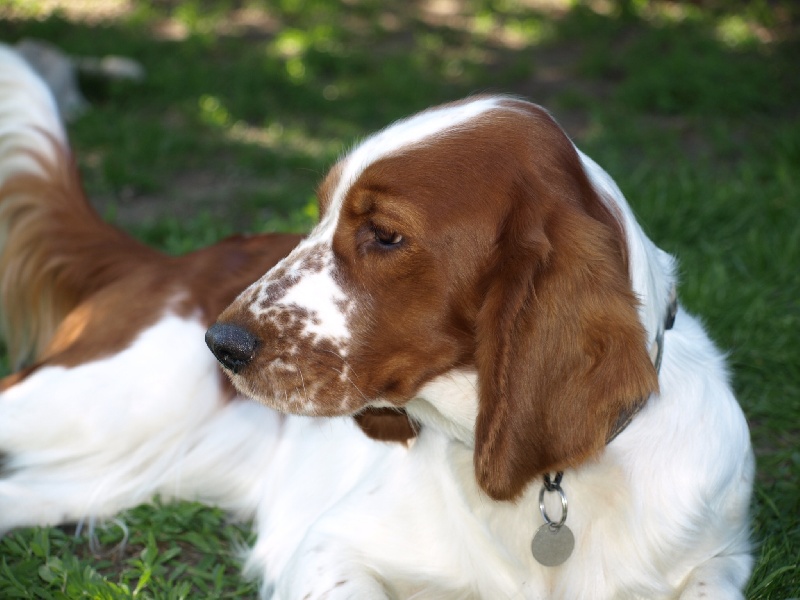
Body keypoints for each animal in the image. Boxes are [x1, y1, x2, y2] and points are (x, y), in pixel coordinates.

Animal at [0, 44, 752, 596]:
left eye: (385, 235)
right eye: (321, 212)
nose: (220, 343)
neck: (549, 484)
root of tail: (170, 259)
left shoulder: (718, 559)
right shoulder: (330, 547)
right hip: (96, 399)